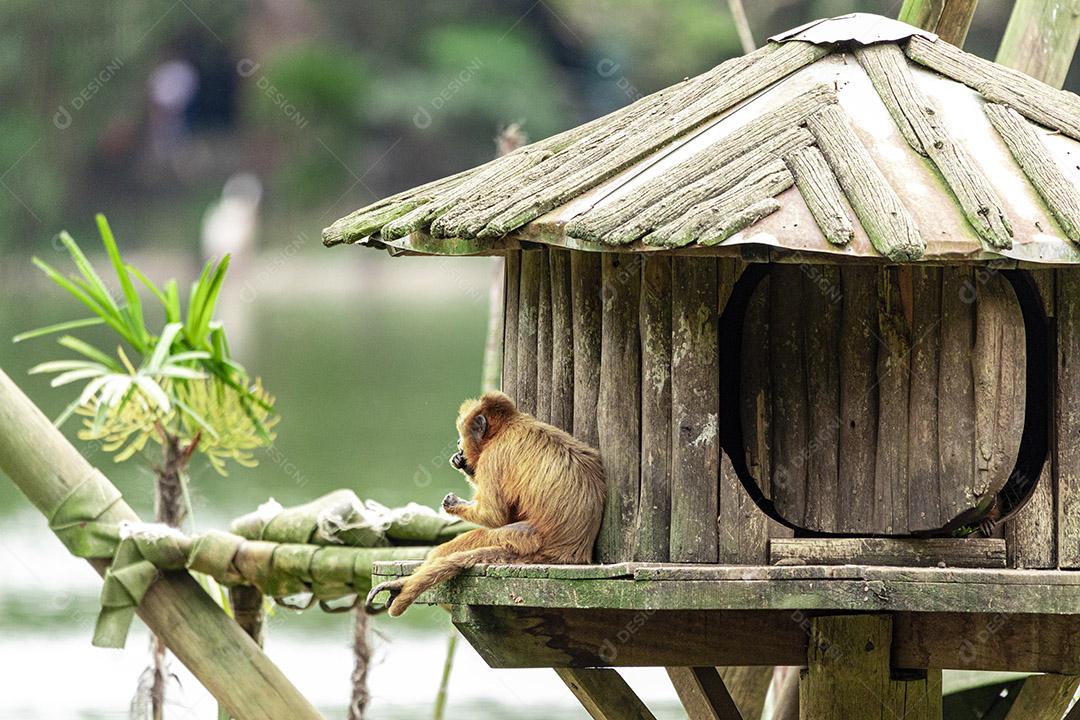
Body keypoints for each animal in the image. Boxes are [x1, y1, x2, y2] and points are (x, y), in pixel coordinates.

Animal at [367, 390, 609, 617]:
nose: (458, 443)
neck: (508, 426)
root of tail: (571, 551)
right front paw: (463, 464)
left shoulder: (493, 457)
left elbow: (495, 517)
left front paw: (454, 502)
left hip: (526, 539)